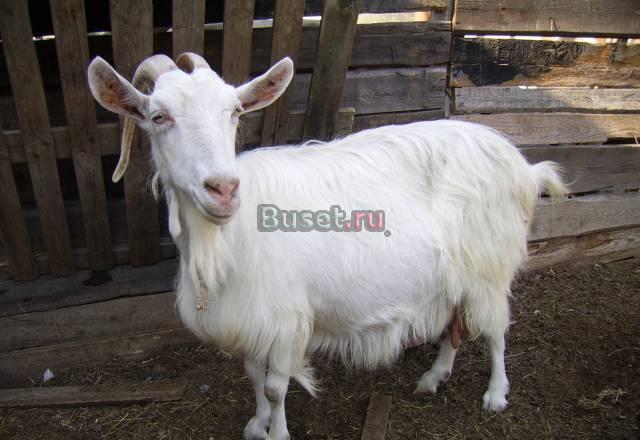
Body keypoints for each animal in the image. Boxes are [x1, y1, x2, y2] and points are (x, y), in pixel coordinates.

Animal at [88, 53, 567, 440]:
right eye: (158, 116)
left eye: (234, 111)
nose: (223, 189)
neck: (225, 241)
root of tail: (523, 166)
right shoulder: (250, 318)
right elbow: (252, 374)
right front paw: (257, 424)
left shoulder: (287, 320)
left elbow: (275, 386)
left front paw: (277, 432)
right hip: (453, 273)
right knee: (455, 322)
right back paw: (434, 377)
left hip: (490, 264)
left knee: (496, 329)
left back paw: (496, 394)